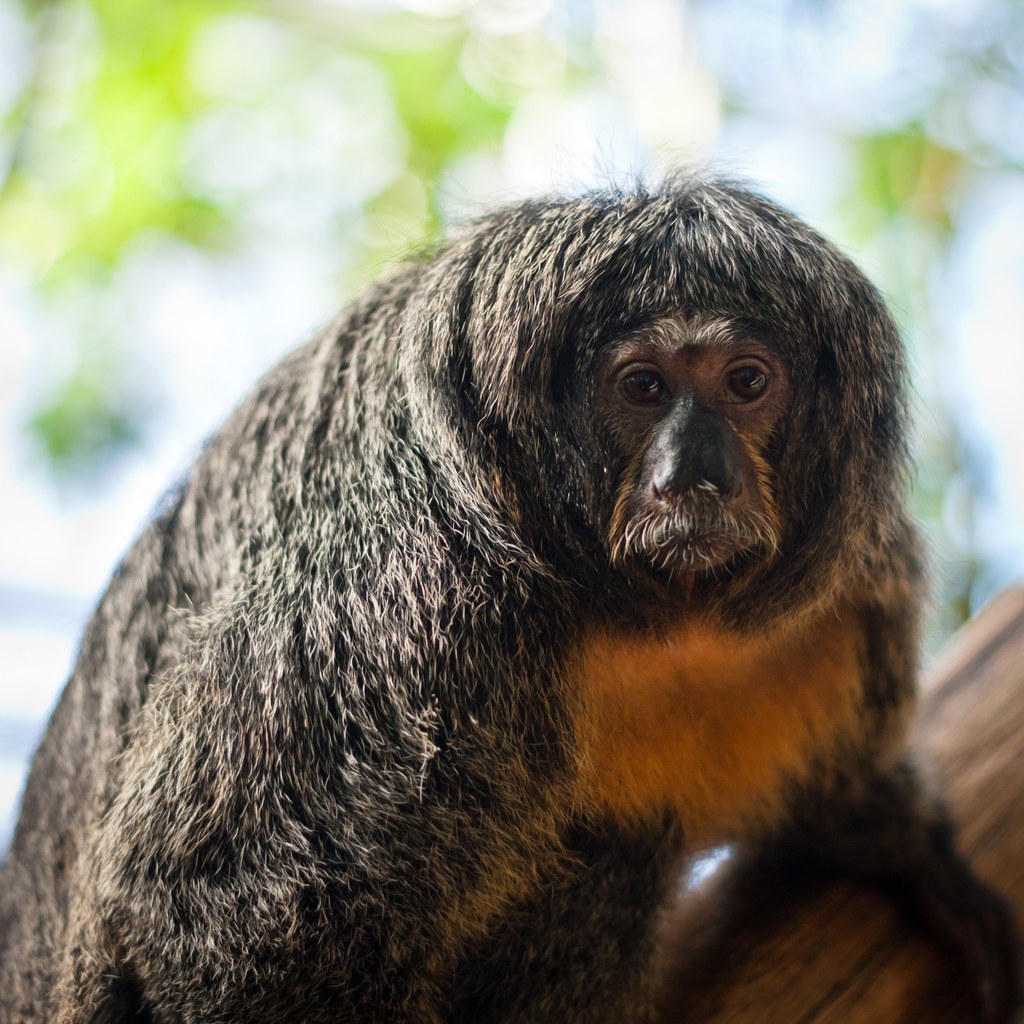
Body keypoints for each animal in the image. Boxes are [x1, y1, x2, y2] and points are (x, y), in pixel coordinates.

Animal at [0, 180, 1015, 1019]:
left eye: (748, 382)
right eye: (642, 388)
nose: (697, 475)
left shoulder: (850, 589)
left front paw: (907, 846)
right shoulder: (409, 594)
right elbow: (212, 907)